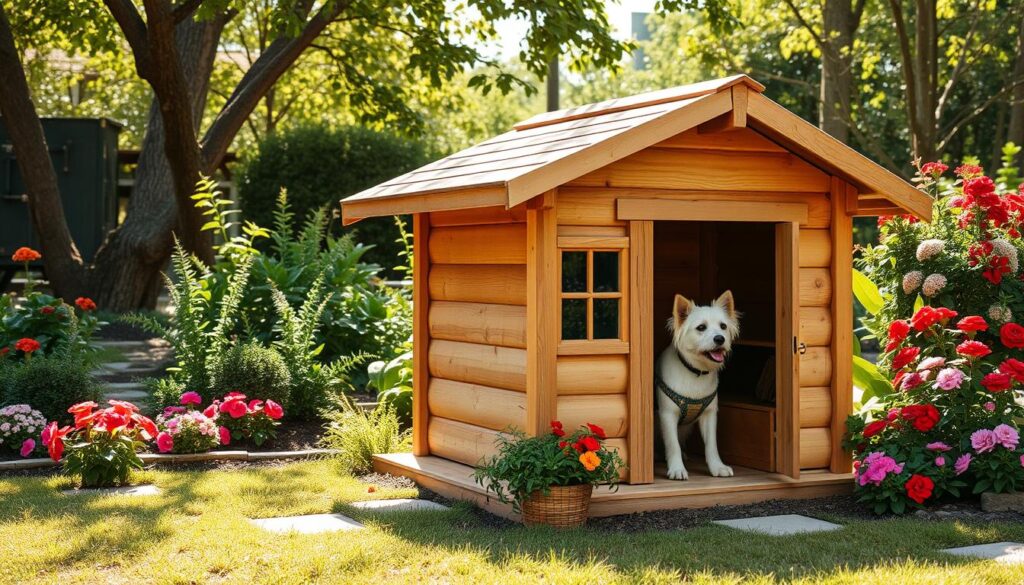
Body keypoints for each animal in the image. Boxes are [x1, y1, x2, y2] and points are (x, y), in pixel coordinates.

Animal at [659, 293, 741, 481]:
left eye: (723, 326)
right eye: (701, 327)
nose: (720, 338)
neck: (695, 372)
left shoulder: (709, 414)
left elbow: (711, 444)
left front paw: (717, 467)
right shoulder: (667, 415)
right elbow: (672, 444)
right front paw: (677, 469)